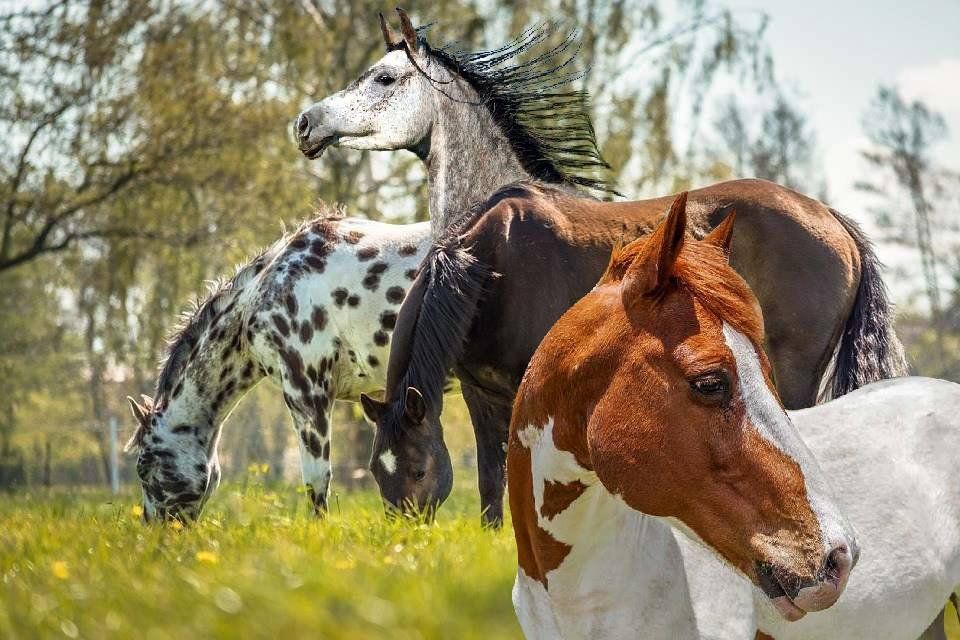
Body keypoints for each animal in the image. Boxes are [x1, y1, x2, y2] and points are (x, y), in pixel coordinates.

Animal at [298, 11, 905, 523]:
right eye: (378, 472)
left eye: (383, 78)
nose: (306, 123)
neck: (488, 264)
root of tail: (831, 217)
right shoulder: (480, 393)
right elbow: (494, 485)